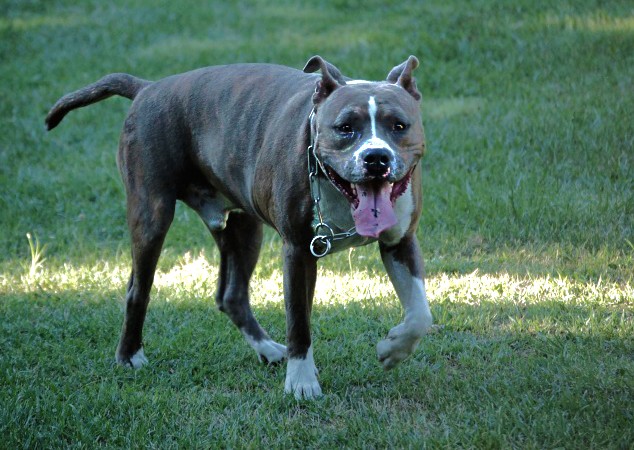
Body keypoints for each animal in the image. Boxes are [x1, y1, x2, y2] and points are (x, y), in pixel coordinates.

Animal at [43, 57, 430, 400]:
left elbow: (419, 314)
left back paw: (268, 350)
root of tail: (148, 88)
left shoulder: (400, 242)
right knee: (138, 289)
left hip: (244, 229)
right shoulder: (298, 252)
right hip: (151, 216)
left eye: (399, 126)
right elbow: (299, 323)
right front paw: (302, 383)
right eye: (346, 127)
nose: (376, 158)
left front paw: (392, 349)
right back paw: (130, 356)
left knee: (231, 295)